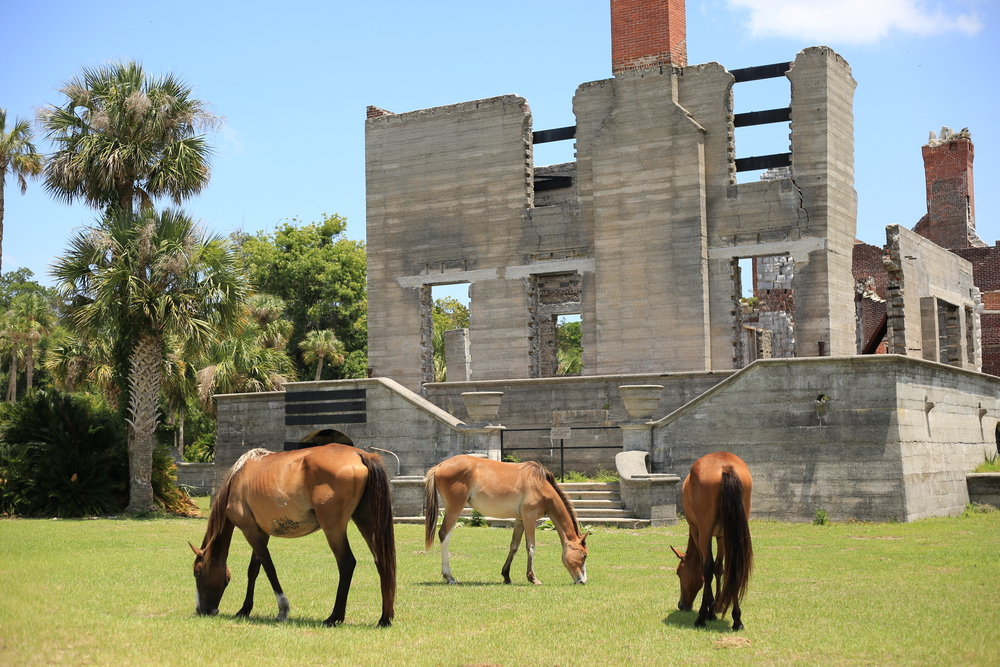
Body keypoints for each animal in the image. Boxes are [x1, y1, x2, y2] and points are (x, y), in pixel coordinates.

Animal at [189, 446, 396, 628]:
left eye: (197, 572)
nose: (201, 610)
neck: (238, 478)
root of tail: (359, 454)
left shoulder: (251, 531)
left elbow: (269, 568)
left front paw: (283, 609)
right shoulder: (261, 532)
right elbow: (254, 569)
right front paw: (244, 609)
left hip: (333, 528)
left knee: (346, 563)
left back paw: (334, 617)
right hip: (366, 521)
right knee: (382, 562)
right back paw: (384, 618)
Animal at [422, 456, 584, 588]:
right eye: (584, 555)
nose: (582, 581)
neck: (540, 484)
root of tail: (441, 465)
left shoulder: (520, 520)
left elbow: (514, 546)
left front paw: (506, 576)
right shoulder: (529, 517)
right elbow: (531, 546)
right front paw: (533, 578)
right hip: (454, 508)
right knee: (444, 535)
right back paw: (449, 577)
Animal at [672, 454, 752, 632]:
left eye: (679, 573)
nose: (682, 605)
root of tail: (725, 467)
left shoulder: (697, 531)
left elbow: (707, 567)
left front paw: (710, 610)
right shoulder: (722, 536)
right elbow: (720, 568)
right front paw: (716, 608)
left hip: (705, 529)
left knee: (708, 566)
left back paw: (701, 618)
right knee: (734, 567)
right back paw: (737, 620)